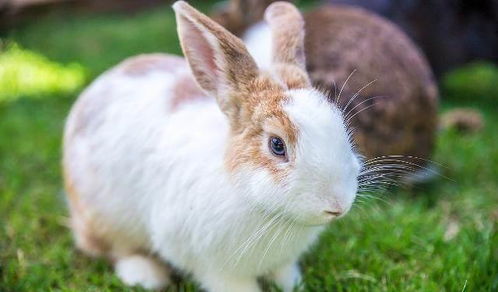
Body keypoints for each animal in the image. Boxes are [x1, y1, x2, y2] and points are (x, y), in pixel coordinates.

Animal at [63, 1, 362, 290]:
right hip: (106, 218)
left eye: (339, 123)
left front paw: (292, 285)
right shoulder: (214, 267)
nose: (338, 206)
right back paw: (145, 276)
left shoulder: (283, 262)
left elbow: (285, 273)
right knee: (116, 249)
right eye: (277, 145)